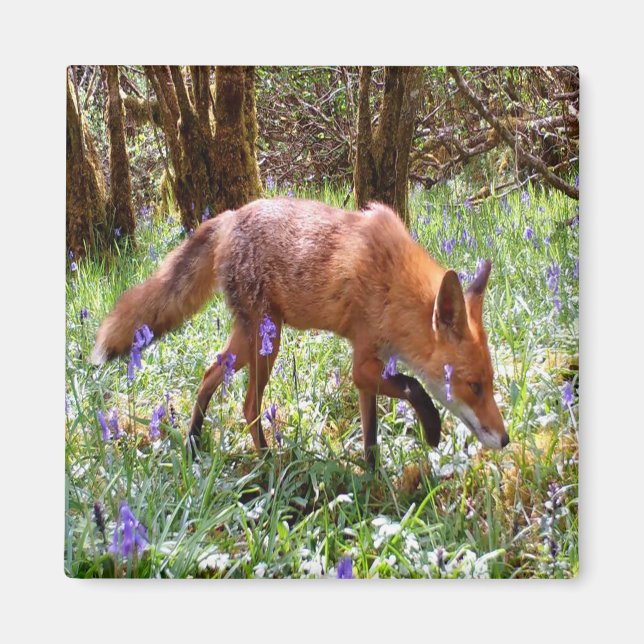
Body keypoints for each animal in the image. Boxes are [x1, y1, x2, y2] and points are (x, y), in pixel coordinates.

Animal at [91, 197, 509, 467]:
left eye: (491, 382)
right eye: (474, 386)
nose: (505, 439)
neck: (392, 282)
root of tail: (229, 215)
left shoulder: (369, 369)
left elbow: (371, 436)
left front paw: (373, 482)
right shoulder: (363, 362)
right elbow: (414, 386)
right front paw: (433, 430)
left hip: (250, 339)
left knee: (210, 374)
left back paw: (195, 444)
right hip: (267, 341)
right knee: (248, 405)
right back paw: (267, 463)